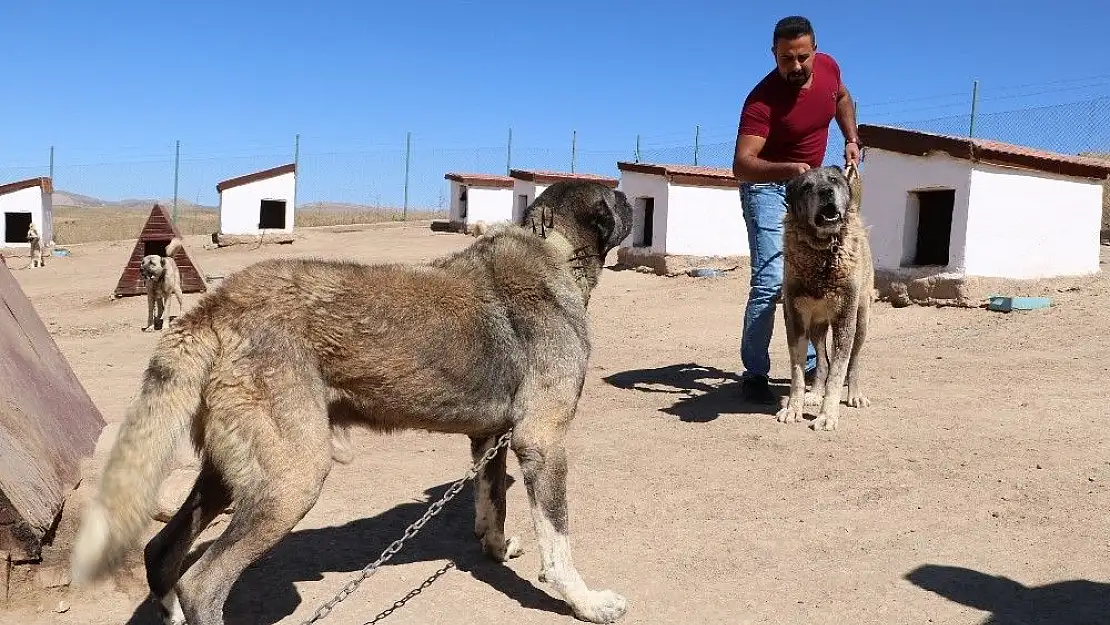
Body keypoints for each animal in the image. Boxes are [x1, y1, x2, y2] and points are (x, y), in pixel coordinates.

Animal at [71, 179, 634, 625]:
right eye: (619, 197)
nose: (634, 203)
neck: (552, 248)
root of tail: (214, 308)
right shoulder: (542, 441)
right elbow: (558, 545)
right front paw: (587, 603)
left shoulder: (488, 438)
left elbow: (490, 504)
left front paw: (495, 550)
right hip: (292, 479)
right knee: (201, 584)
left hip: (229, 471)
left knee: (160, 551)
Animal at [772, 164, 874, 432]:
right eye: (807, 186)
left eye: (834, 180)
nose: (826, 191)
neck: (824, 253)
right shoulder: (795, 319)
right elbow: (798, 373)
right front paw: (793, 409)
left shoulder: (845, 320)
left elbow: (838, 372)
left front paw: (827, 415)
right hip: (816, 326)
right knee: (822, 360)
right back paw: (815, 393)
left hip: (861, 322)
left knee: (853, 362)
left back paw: (854, 395)